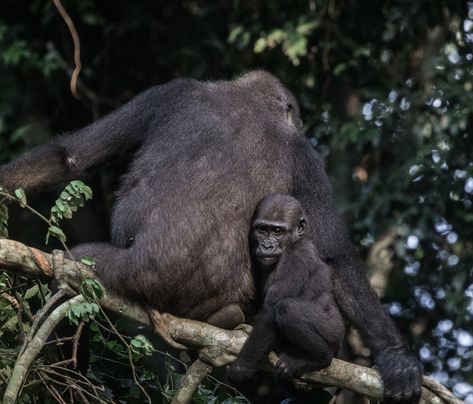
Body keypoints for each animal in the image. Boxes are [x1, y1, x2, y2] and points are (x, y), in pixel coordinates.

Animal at [226, 194, 342, 380]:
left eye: (277, 231)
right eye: (261, 229)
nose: (267, 246)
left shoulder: (294, 258)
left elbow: (269, 313)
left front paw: (240, 368)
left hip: (333, 330)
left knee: (287, 309)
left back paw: (319, 358)